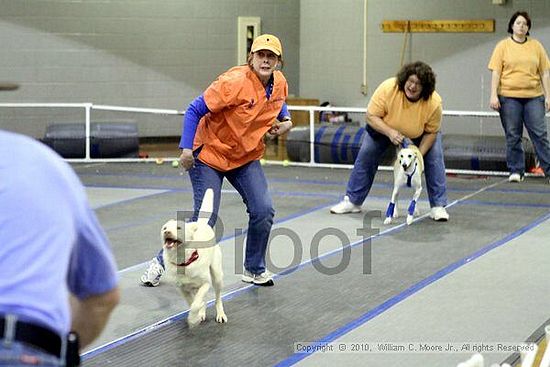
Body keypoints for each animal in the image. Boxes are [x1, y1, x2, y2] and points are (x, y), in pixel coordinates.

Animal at [162, 190, 229, 328]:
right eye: (164, 228)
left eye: (179, 228)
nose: (166, 232)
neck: (183, 261)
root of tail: (202, 225)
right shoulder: (182, 289)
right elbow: (191, 302)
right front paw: (197, 315)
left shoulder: (206, 283)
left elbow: (196, 303)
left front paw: (193, 319)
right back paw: (202, 312)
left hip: (217, 276)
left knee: (218, 298)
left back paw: (220, 314)